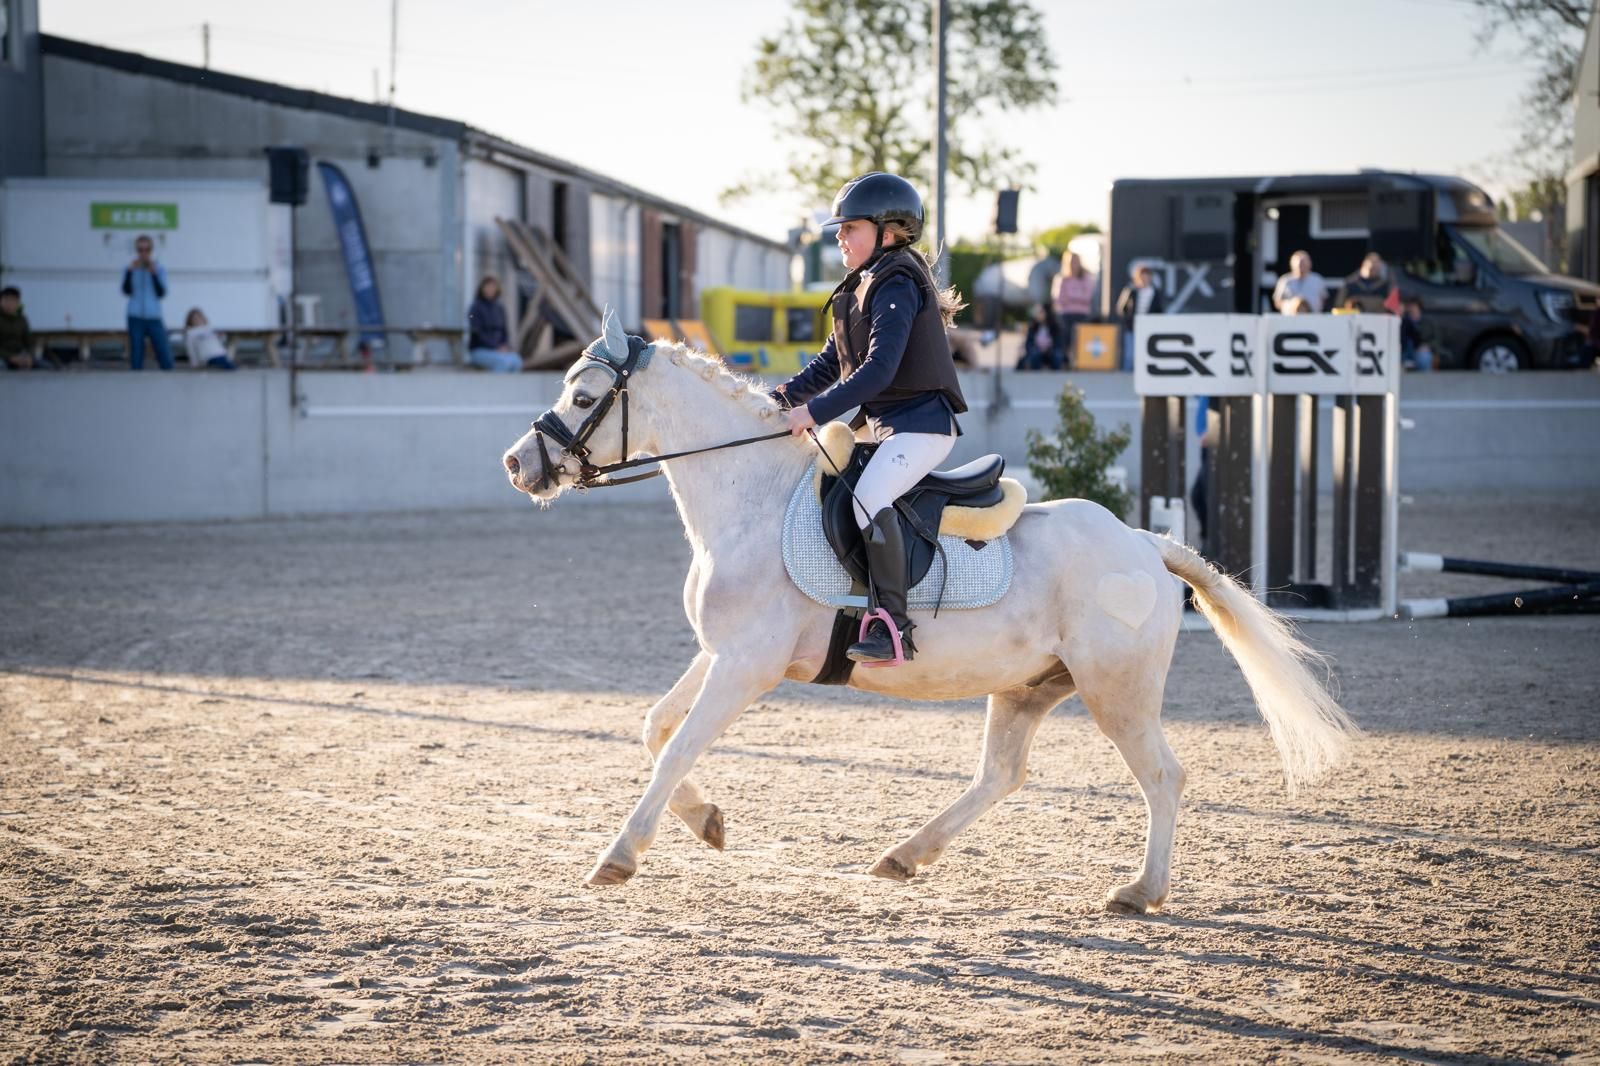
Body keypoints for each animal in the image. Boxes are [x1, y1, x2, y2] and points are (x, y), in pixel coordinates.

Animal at [501, 316, 1357, 913]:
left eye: (584, 396)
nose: (518, 465)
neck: (751, 497)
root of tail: (1144, 543)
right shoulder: (722, 654)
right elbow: (655, 728)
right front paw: (706, 821)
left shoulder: (746, 668)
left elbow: (676, 748)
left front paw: (619, 856)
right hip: (1027, 686)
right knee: (1002, 774)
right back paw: (905, 855)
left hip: (1117, 691)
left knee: (1162, 777)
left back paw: (1139, 892)